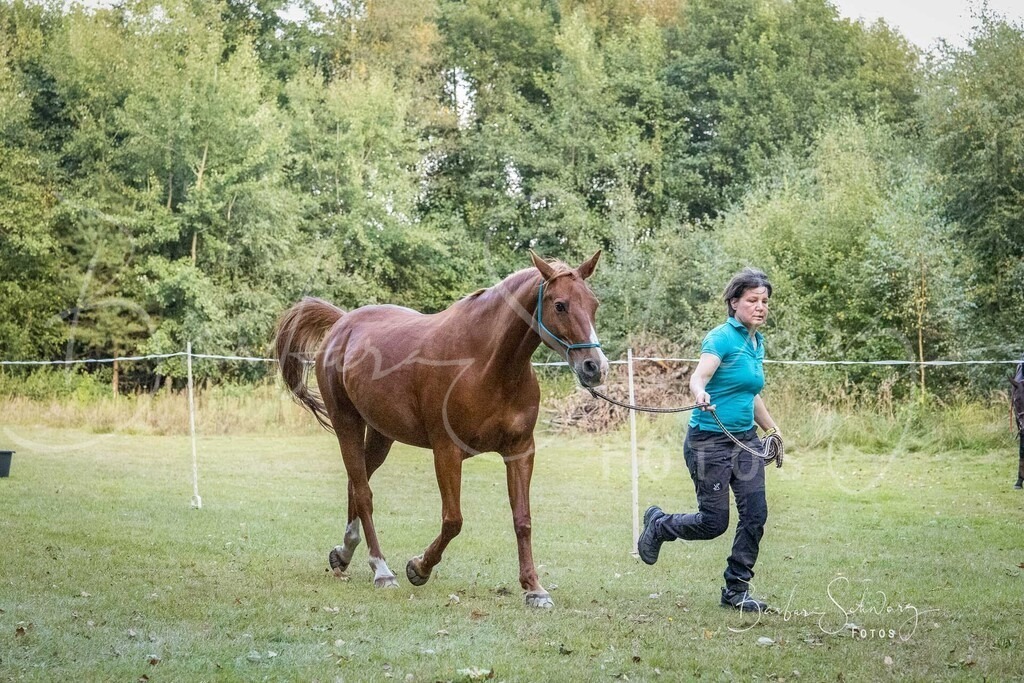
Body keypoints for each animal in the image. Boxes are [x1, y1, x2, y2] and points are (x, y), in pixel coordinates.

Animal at [274, 250, 608, 607]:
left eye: (593, 304)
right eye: (560, 305)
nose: (595, 367)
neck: (486, 364)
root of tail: (342, 323)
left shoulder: (520, 451)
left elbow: (523, 520)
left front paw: (534, 588)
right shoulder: (447, 452)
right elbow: (453, 521)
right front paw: (419, 567)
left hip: (381, 435)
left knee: (356, 484)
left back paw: (344, 553)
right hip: (346, 423)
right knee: (363, 493)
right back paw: (381, 569)